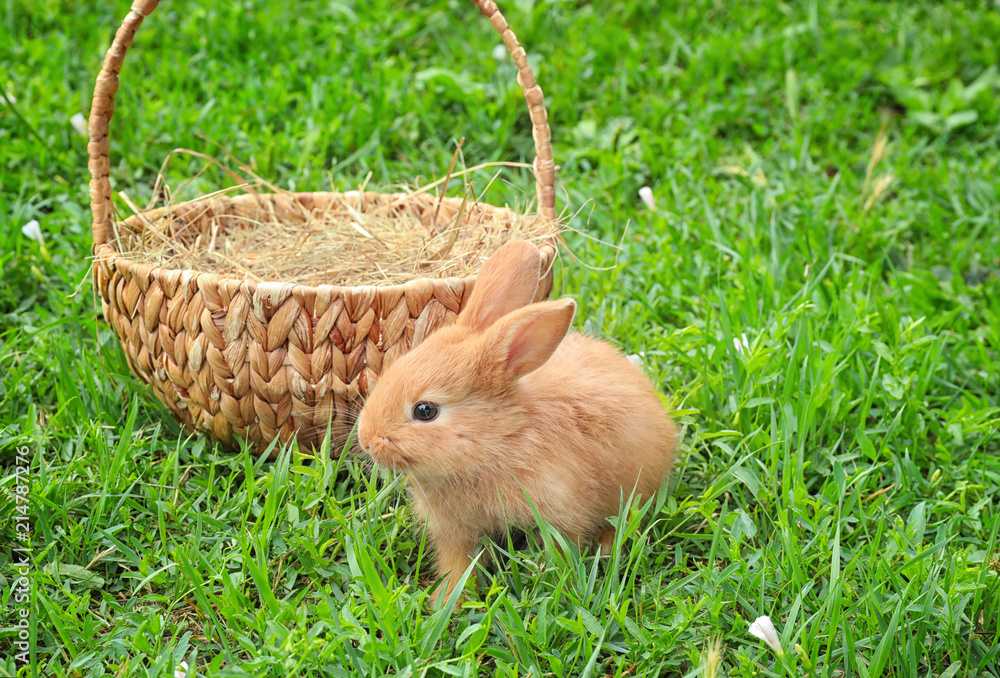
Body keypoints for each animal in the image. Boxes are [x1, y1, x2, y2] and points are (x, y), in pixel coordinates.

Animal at [356, 242, 676, 604]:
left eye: (425, 411)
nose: (366, 439)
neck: (498, 440)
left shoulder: (560, 513)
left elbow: (560, 552)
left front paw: (556, 591)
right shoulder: (455, 532)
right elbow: (458, 564)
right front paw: (447, 602)